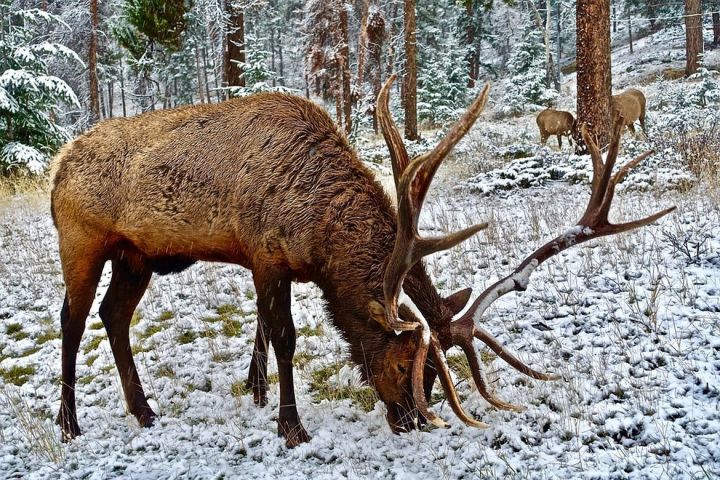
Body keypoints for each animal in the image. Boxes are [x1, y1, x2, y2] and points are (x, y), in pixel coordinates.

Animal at [50, 75, 676, 446]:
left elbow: (261, 332)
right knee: (72, 319)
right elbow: (283, 336)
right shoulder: (266, 256)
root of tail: (59, 165)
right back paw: (70, 421)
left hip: (135, 256)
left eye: (434, 374)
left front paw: (255, 392)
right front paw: (290, 425)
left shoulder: (266, 262)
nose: (410, 421)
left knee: (113, 316)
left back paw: (144, 411)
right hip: (81, 240)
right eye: (407, 366)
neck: (317, 232)